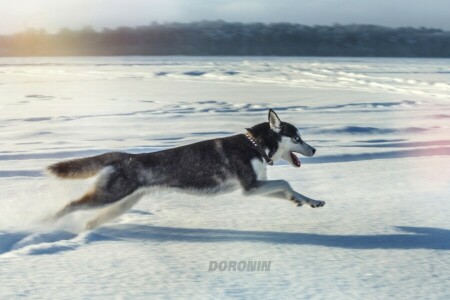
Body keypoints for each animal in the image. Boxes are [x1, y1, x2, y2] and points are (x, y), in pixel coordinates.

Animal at [48, 110, 324, 230]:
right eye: (297, 138)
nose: (314, 150)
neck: (256, 145)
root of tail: (126, 156)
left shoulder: (257, 186)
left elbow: (288, 189)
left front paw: (308, 201)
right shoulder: (249, 187)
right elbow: (285, 182)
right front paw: (301, 198)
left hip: (122, 202)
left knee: (91, 220)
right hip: (109, 196)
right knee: (70, 206)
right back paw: (42, 224)